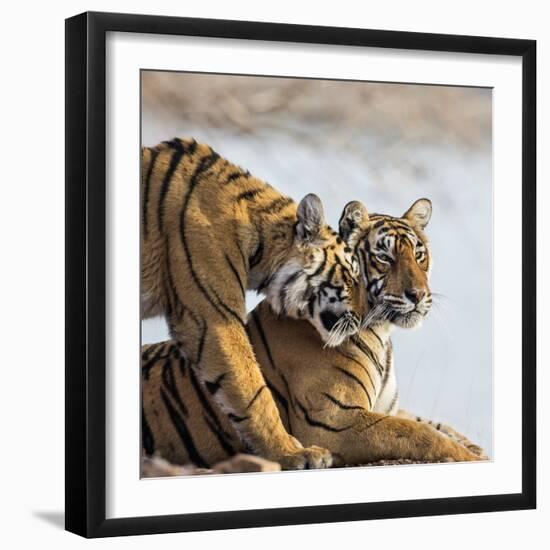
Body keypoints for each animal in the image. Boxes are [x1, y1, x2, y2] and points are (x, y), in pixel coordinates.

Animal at [142, 203, 488, 474]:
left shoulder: (385, 406)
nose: (418, 295)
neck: (381, 333)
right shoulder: (333, 421)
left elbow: (435, 424)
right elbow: (419, 433)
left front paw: (474, 447)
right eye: (384, 257)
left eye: (419, 255)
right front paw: (467, 456)